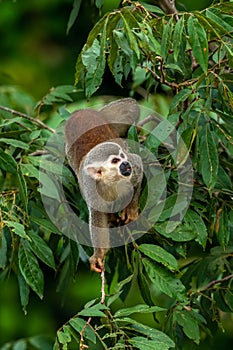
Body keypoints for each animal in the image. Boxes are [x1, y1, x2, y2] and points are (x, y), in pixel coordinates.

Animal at [64, 98, 143, 274]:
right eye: (115, 161)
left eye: (122, 157)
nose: (126, 164)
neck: (111, 180)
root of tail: (80, 112)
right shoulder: (90, 186)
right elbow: (97, 214)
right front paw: (99, 254)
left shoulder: (134, 167)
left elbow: (139, 169)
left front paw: (131, 209)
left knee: (131, 106)